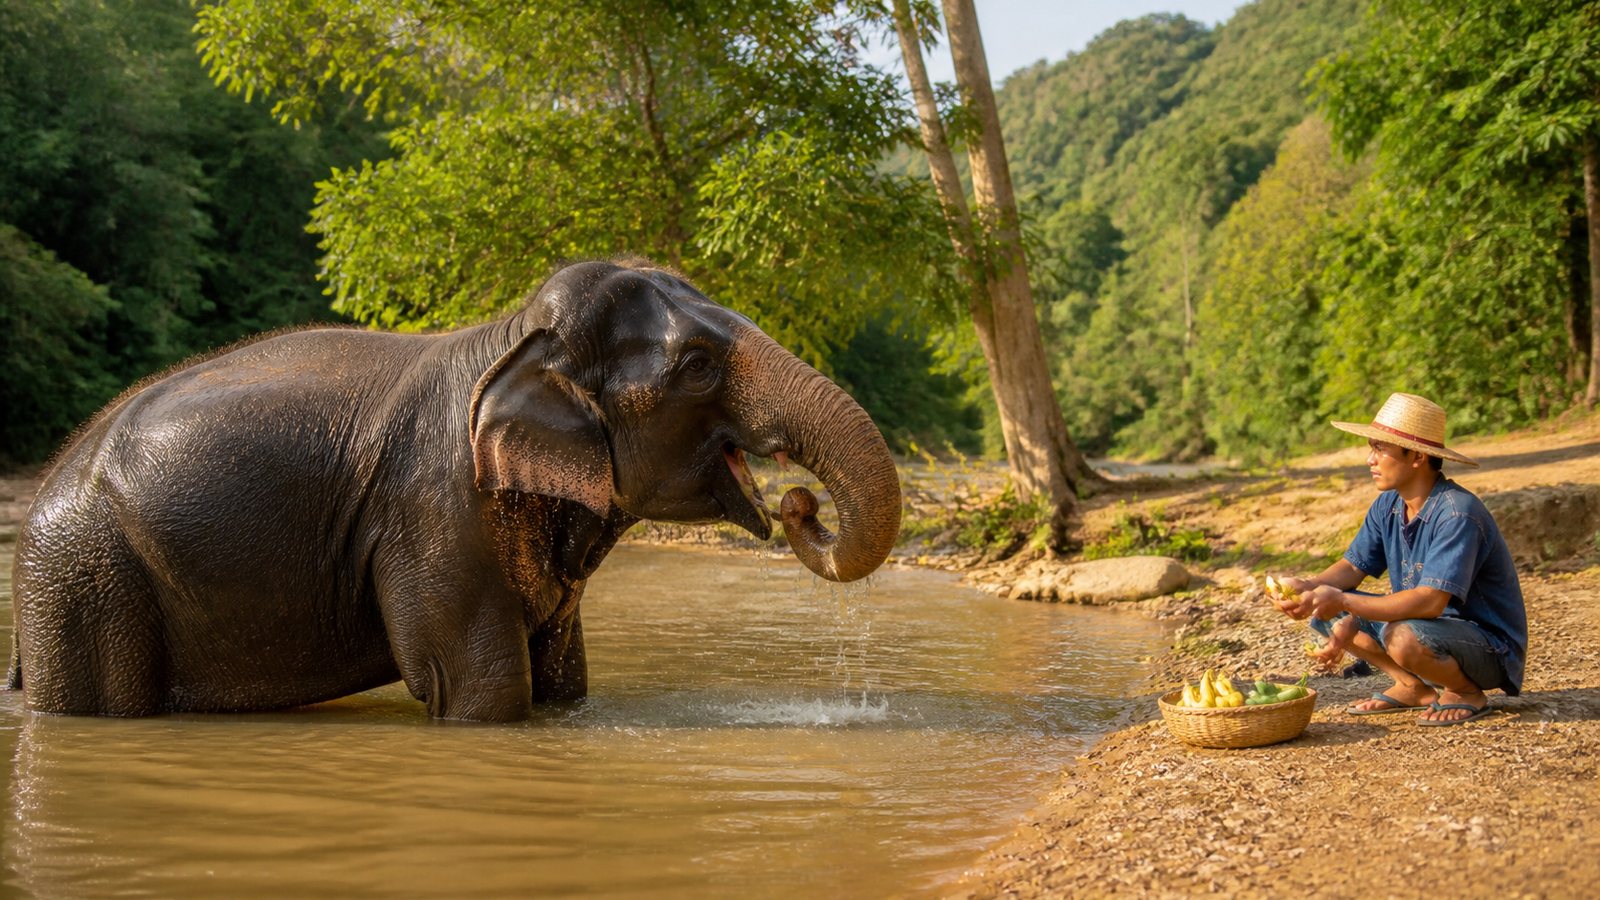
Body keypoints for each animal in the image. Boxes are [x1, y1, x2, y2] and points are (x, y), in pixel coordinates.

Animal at [8, 259, 901, 722]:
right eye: (698, 366)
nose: (800, 503)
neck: (511, 337)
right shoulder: (433, 510)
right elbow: (482, 688)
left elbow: (563, 682)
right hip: (85, 579)